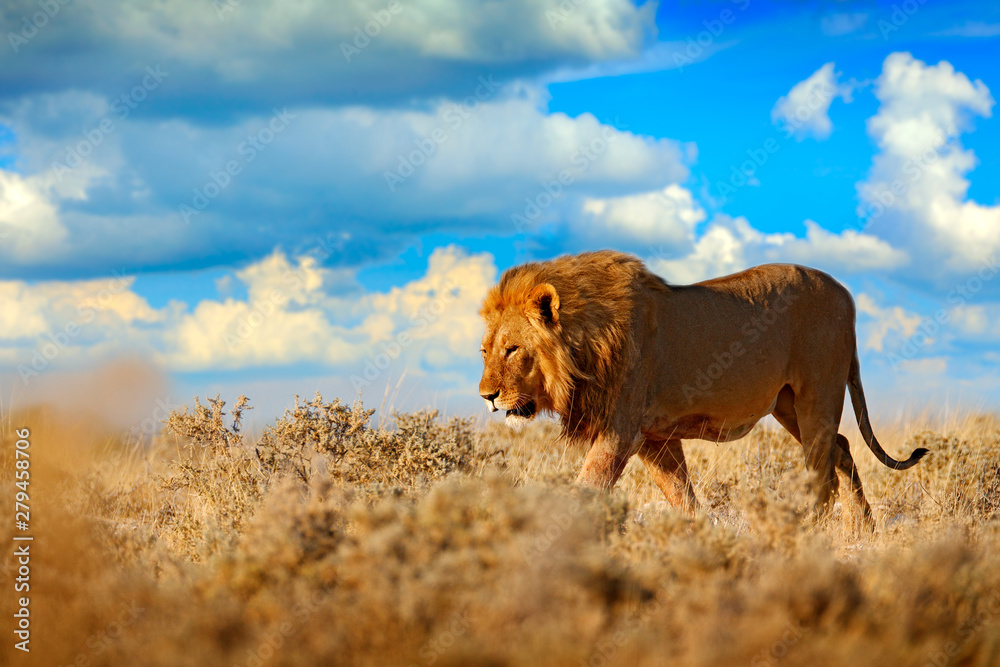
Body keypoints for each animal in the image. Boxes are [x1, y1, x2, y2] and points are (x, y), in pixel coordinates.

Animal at [478, 250, 928, 529]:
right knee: (843, 448)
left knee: (823, 473)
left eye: (512, 349)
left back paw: (809, 534)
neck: (587, 345)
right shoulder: (654, 438)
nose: (487, 397)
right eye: (484, 350)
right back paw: (864, 531)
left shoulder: (620, 430)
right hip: (788, 406)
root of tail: (847, 294)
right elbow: (682, 495)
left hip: (818, 394)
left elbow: (589, 485)